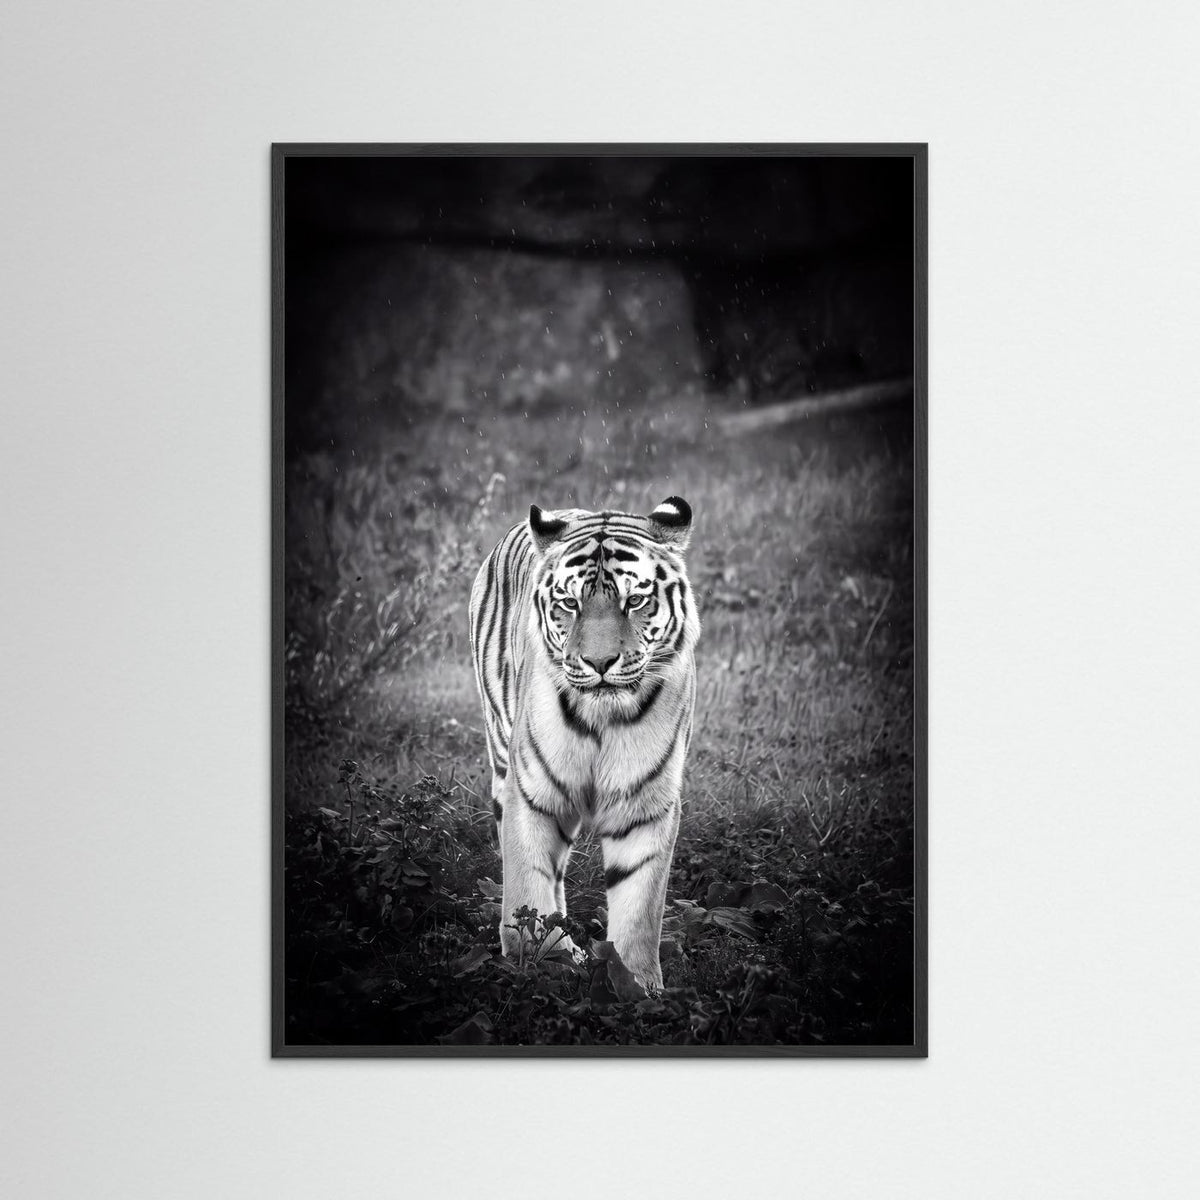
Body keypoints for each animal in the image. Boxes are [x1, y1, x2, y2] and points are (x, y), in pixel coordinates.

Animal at [467, 496, 699, 990]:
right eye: (570, 603)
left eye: (635, 601)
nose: (599, 662)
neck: (601, 718)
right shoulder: (531, 792)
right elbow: (527, 880)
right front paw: (540, 960)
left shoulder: (645, 804)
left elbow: (640, 905)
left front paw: (636, 985)